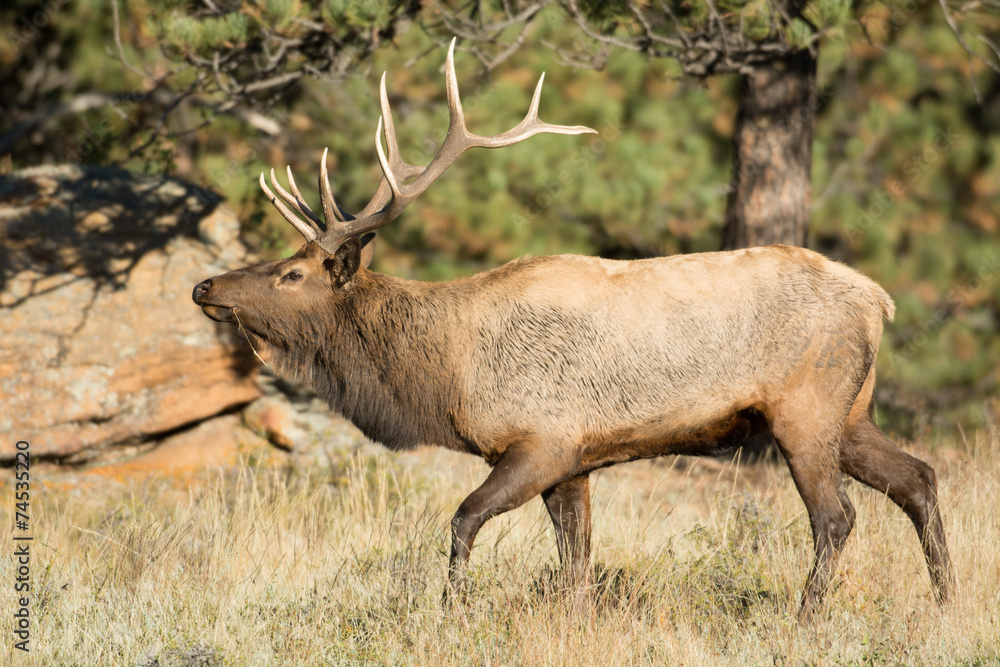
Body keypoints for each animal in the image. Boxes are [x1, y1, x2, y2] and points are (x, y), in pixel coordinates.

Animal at [192, 39, 952, 621]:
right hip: (851, 412)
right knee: (919, 476)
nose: (206, 287)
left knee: (837, 516)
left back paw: (805, 619)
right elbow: (578, 563)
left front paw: (451, 612)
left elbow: (464, 519)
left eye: (292, 273)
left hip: (805, 407)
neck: (446, 376)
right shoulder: (578, 461)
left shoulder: (543, 441)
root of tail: (879, 300)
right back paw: (948, 602)